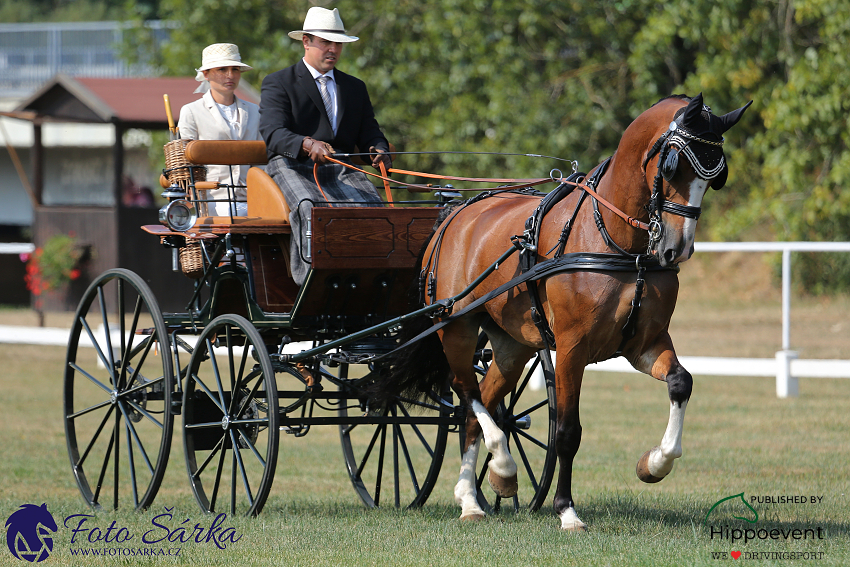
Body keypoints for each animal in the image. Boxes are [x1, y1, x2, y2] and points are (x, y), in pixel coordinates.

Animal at [372, 94, 748, 532]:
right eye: (673, 165)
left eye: (716, 177)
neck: (619, 243)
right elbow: (567, 431)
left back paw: (475, 496)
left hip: (511, 345)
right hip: (457, 329)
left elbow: (680, 383)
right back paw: (500, 470)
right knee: (467, 394)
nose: (678, 249)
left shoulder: (645, 344)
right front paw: (567, 511)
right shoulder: (571, 348)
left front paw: (653, 464)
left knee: (477, 407)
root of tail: (456, 214)